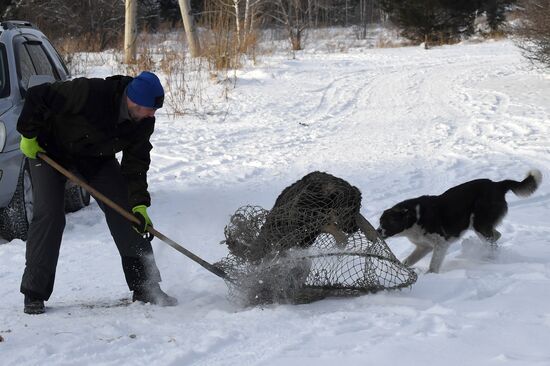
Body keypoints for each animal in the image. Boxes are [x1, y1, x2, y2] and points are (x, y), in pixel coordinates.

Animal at [380, 170, 544, 274]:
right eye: (380, 223)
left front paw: (430, 276)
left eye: (386, 223)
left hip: (479, 223)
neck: (414, 217)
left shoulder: (441, 243)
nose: (378, 231)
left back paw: (488, 259)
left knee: (491, 240)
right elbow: (407, 261)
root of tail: (498, 184)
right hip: (480, 224)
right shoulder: (423, 247)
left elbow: (433, 265)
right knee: (497, 235)